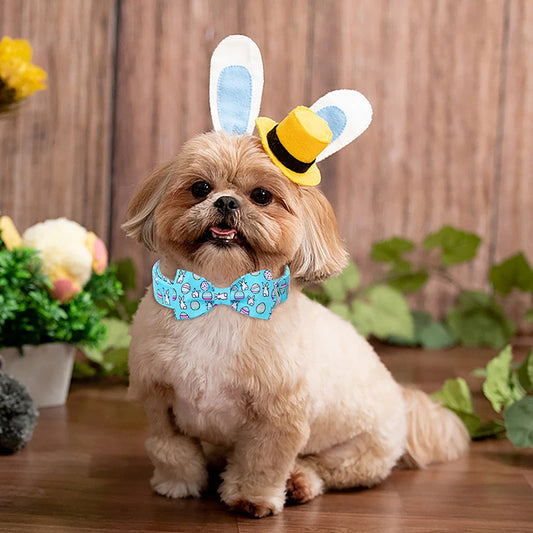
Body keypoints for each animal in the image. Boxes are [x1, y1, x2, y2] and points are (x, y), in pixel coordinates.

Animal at [122, 36, 468, 516]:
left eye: (262, 196)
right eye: (200, 188)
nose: (227, 202)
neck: (220, 294)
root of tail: (404, 403)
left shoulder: (279, 416)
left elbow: (263, 461)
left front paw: (251, 499)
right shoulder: (158, 398)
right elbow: (168, 448)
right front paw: (177, 484)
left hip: (360, 452)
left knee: (323, 469)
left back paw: (299, 483)